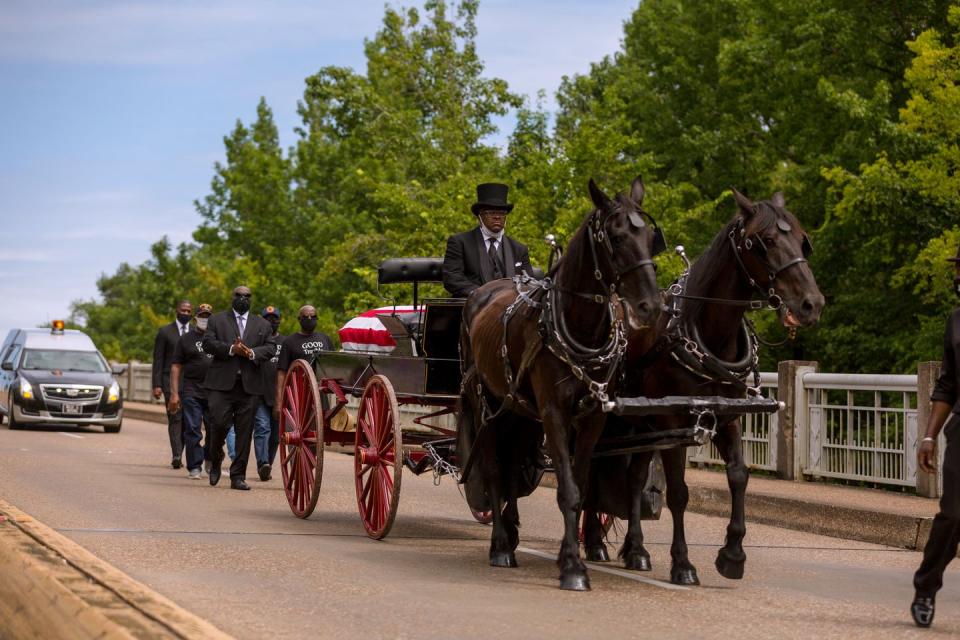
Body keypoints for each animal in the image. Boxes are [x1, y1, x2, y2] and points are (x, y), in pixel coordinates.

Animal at [462, 178, 664, 592]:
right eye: (616, 237)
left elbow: (582, 487)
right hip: (486, 405)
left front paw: (569, 556)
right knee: (493, 469)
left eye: (650, 237)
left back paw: (511, 529)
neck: (578, 327)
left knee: (512, 467)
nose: (651, 306)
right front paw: (572, 566)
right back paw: (501, 545)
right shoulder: (553, 412)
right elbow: (568, 490)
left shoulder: (592, 417)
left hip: (518, 412)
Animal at [580, 189, 820, 584]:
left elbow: (738, 476)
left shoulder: (727, 417)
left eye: (803, 241)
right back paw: (596, 542)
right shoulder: (675, 420)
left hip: (641, 424)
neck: (704, 332)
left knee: (632, 478)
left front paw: (733, 553)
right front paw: (682, 564)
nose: (811, 303)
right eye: (766, 242)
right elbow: (678, 493)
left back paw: (634, 549)